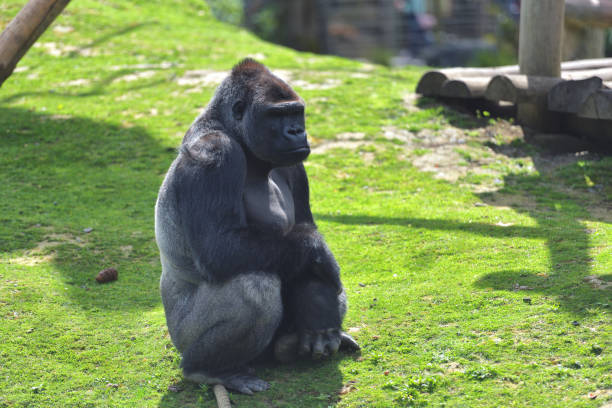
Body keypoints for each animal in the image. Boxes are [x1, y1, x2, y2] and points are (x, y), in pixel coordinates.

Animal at [154, 59, 358, 394]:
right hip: (182, 336)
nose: (296, 131)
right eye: (276, 115)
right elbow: (221, 248)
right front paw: (319, 254)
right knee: (254, 284)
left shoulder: (295, 164)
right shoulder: (215, 154)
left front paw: (319, 313)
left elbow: (306, 243)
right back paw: (210, 369)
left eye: (296, 112)